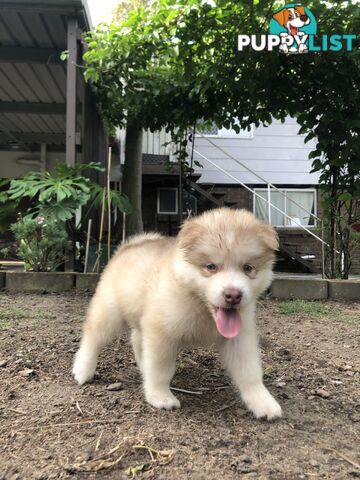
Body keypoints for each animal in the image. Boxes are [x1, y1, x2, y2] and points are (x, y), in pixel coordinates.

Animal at [72, 208, 282, 418]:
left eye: (248, 268)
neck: (201, 307)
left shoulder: (240, 338)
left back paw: (142, 367)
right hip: (110, 313)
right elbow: (160, 369)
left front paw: (263, 401)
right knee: (93, 338)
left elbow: (250, 372)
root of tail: (131, 245)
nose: (233, 295)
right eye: (211, 267)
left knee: (137, 340)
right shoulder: (161, 332)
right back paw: (82, 369)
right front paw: (160, 396)